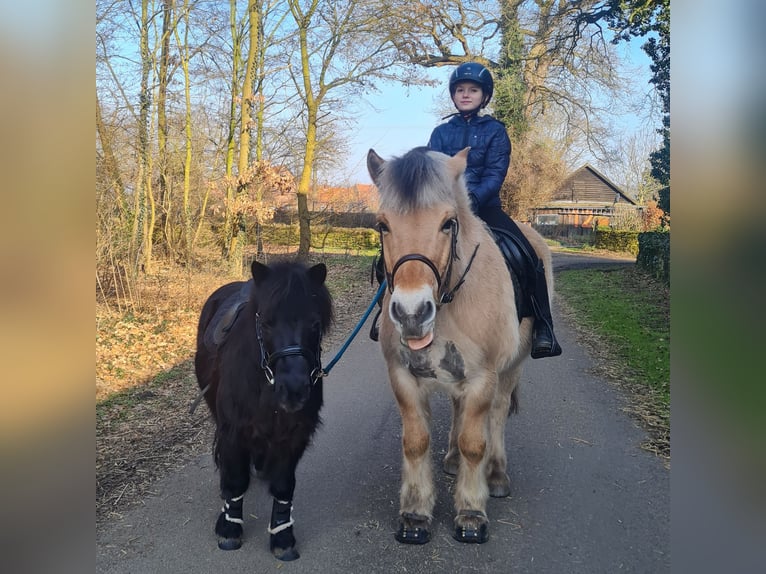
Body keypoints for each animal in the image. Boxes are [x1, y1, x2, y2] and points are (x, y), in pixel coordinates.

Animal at [194, 259, 333, 561]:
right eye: (266, 323)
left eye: (315, 324)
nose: (293, 390)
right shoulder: (232, 431)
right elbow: (235, 480)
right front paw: (229, 529)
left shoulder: (294, 436)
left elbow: (284, 486)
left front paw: (282, 536)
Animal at [367, 146, 554, 545]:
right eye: (383, 225)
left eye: (448, 223)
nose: (411, 313)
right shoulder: (403, 376)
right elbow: (415, 442)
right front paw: (415, 514)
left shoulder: (483, 378)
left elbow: (475, 443)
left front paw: (470, 513)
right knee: (457, 409)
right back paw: (452, 460)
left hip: (511, 368)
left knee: (497, 415)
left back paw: (496, 475)